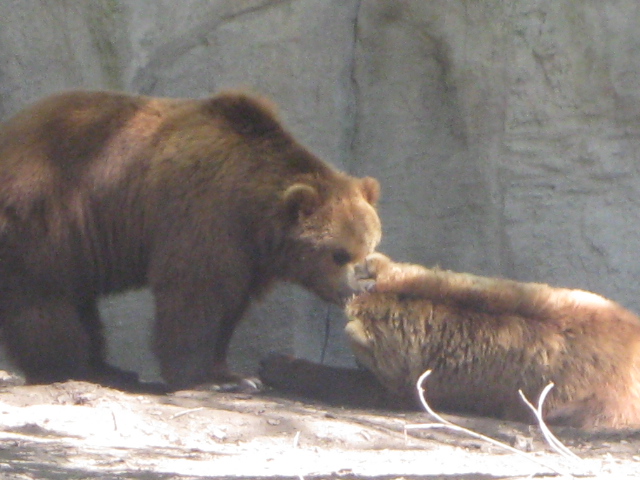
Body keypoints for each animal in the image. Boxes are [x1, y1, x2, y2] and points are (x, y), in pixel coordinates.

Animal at [0, 90, 380, 394]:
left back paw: (107, 367)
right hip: (47, 214)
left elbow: (230, 306)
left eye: (371, 247)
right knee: (45, 299)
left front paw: (232, 373)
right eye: (339, 254)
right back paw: (71, 367)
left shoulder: (247, 255)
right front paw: (208, 379)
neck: (252, 210)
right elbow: (195, 296)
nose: (360, 288)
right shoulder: (203, 214)